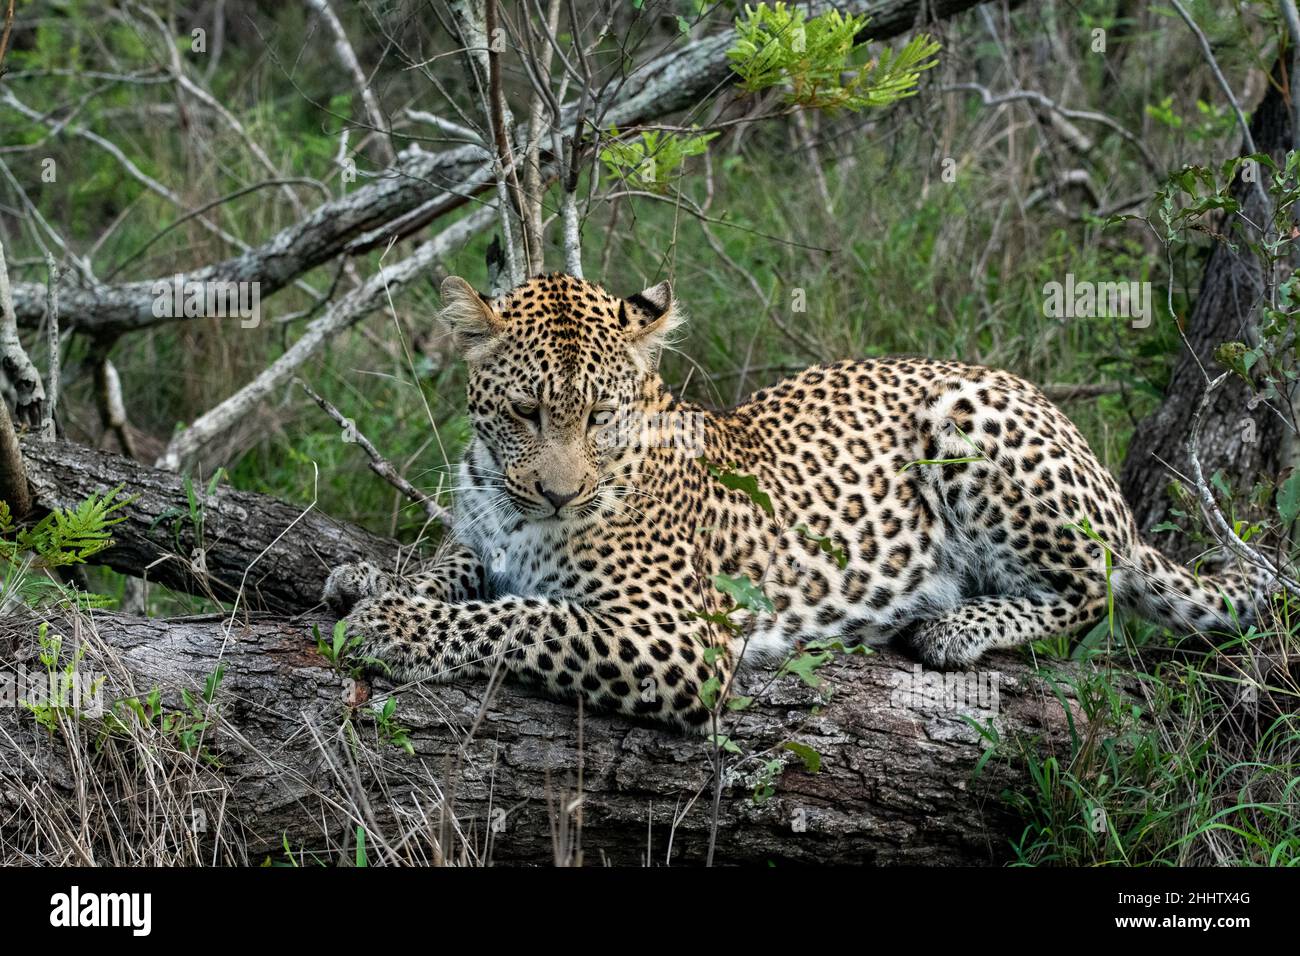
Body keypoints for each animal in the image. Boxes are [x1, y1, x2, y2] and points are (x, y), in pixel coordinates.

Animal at [323, 271, 1268, 732]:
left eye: (599, 416)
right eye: (525, 412)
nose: (562, 493)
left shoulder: (677, 636)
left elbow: (525, 618)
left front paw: (394, 629)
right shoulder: (484, 535)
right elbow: (453, 565)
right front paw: (369, 581)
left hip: (967, 420)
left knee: (1093, 590)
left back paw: (952, 625)